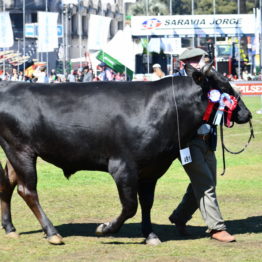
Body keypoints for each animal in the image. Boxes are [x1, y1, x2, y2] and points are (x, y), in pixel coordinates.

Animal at [0, 66, 252, 245]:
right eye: (224, 87)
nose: (247, 114)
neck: (164, 109)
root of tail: (9, 85)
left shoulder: (152, 169)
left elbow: (147, 203)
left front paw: (150, 234)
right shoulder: (122, 166)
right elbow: (130, 205)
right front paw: (106, 228)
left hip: (15, 153)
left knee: (7, 183)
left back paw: (10, 228)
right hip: (21, 150)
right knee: (27, 190)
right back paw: (52, 232)